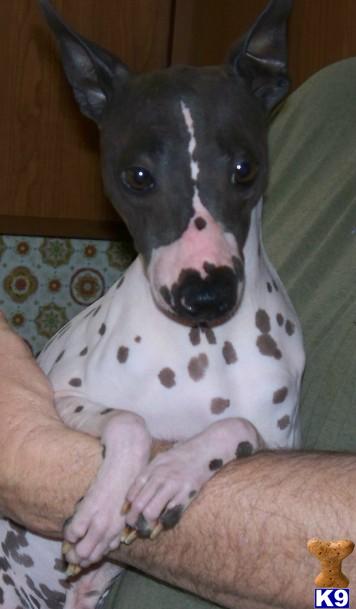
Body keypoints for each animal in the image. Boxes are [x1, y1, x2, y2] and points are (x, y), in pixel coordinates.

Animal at [0, 0, 306, 604]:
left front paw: (172, 474)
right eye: (138, 176)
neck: (204, 346)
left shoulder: (283, 444)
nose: (205, 294)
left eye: (245, 169)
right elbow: (128, 421)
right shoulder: (60, 399)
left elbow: (240, 429)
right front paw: (101, 507)